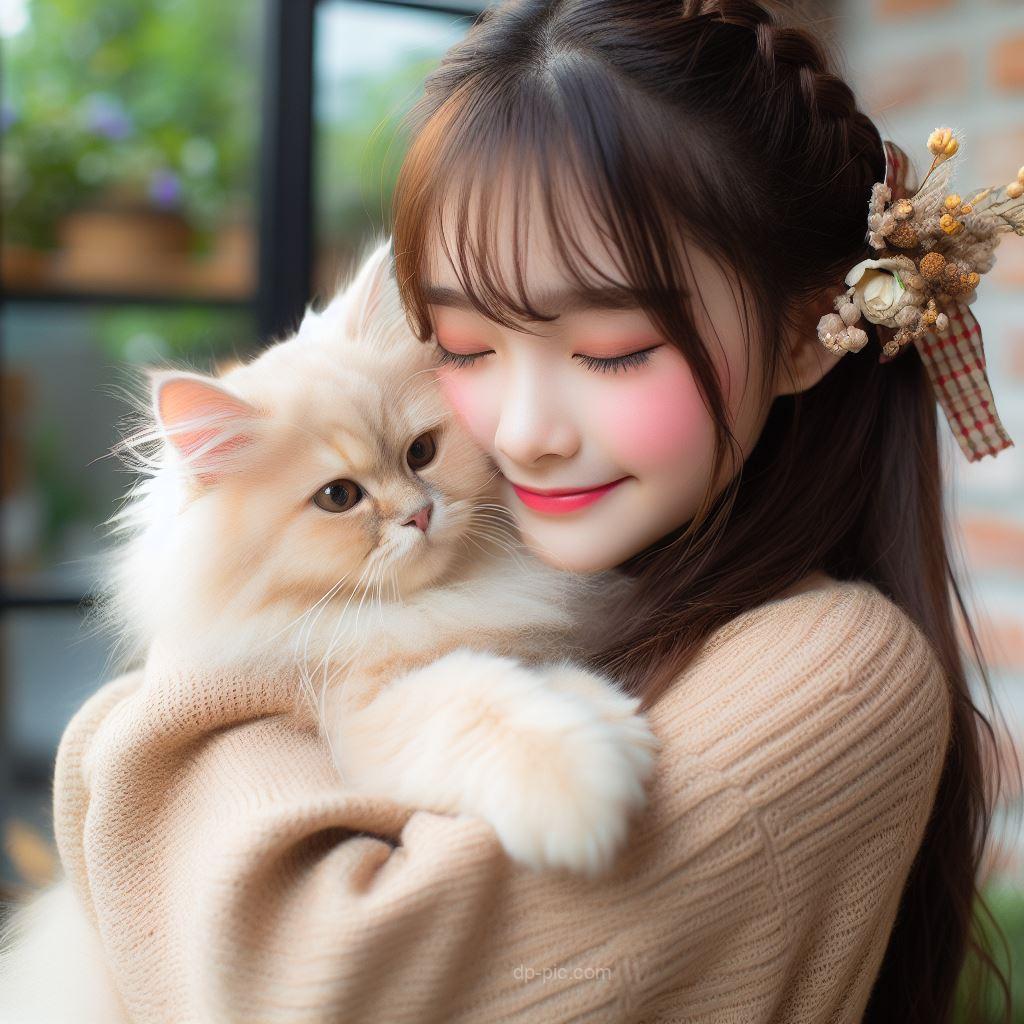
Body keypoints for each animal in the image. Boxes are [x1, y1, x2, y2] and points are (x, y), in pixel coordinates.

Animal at [0, 237, 655, 1024]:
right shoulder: (371, 709)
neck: (435, 601)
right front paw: (585, 792)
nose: (419, 515)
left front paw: (613, 725)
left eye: (421, 453)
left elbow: (553, 681)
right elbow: (493, 707)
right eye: (339, 497)